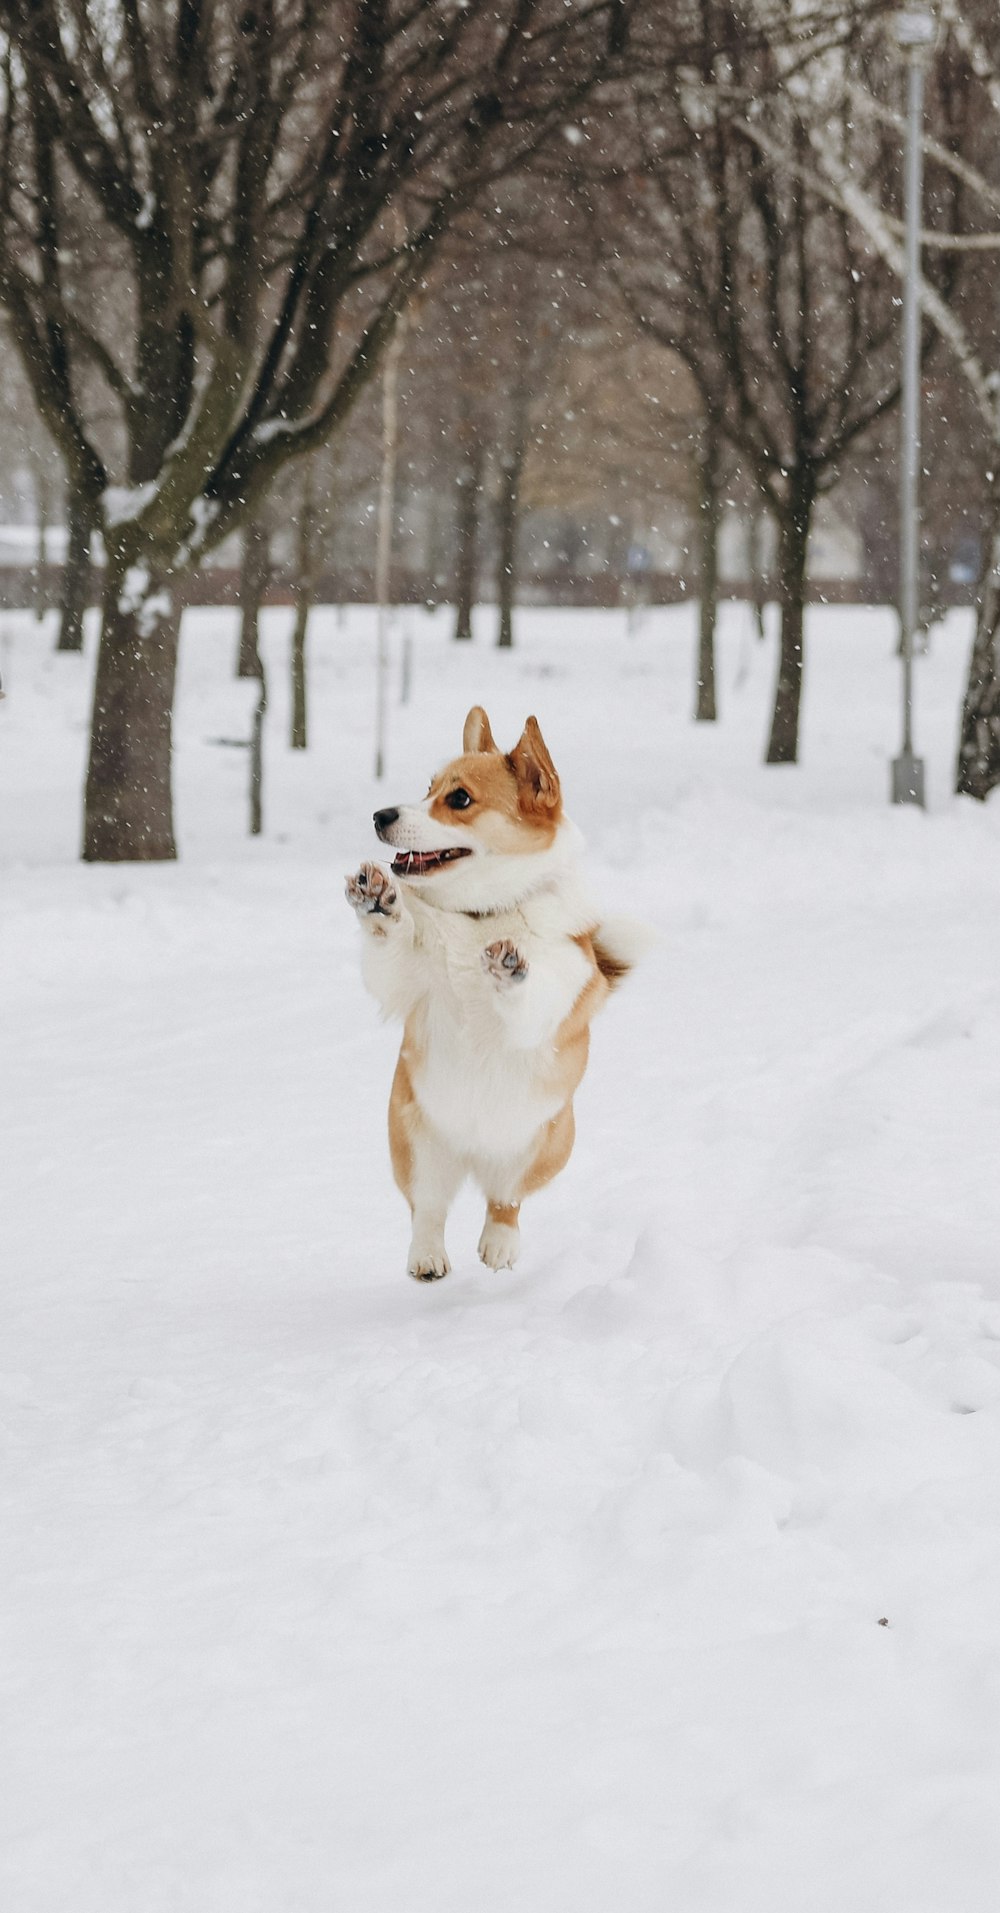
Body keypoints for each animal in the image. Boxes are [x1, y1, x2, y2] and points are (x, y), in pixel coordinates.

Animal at [347, 707, 638, 1285]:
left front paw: (510, 968)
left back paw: (499, 1243)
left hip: (541, 1146)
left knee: (505, 1201)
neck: (482, 917)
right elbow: (393, 951)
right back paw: (428, 1257)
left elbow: (530, 997)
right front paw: (379, 903)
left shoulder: (555, 990)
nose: (380, 815)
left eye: (459, 799)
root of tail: (473, 1153)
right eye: (428, 789)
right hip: (417, 1143)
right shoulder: (406, 980)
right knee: (429, 1209)